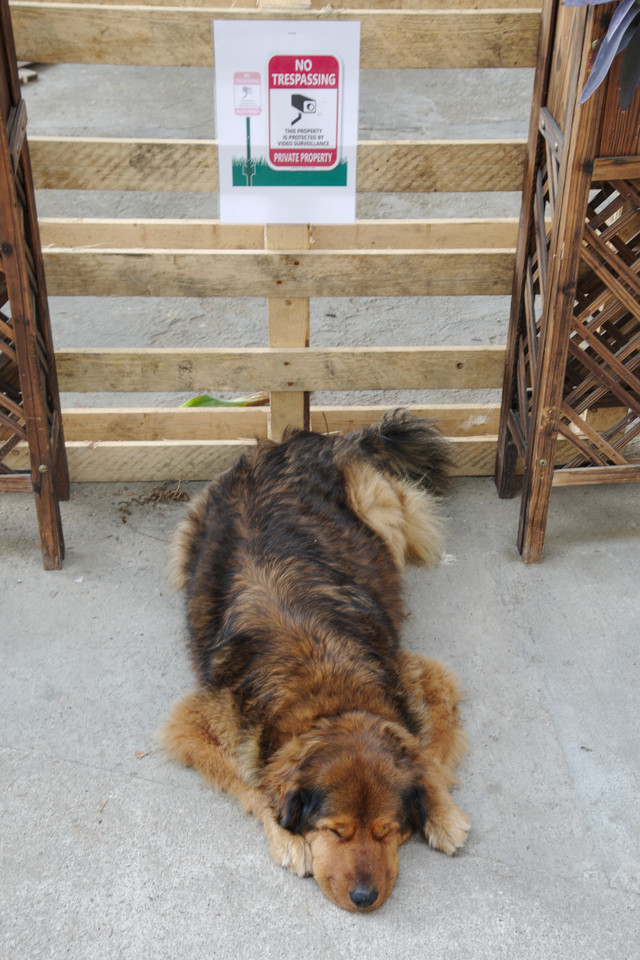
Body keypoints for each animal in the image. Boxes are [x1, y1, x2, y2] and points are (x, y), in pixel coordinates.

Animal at [161, 408, 470, 912]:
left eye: (386, 832)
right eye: (335, 831)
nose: (364, 898)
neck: (328, 689)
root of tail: (299, 441)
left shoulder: (424, 676)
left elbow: (427, 755)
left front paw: (441, 812)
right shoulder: (192, 723)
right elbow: (250, 781)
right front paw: (287, 837)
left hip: (380, 512)